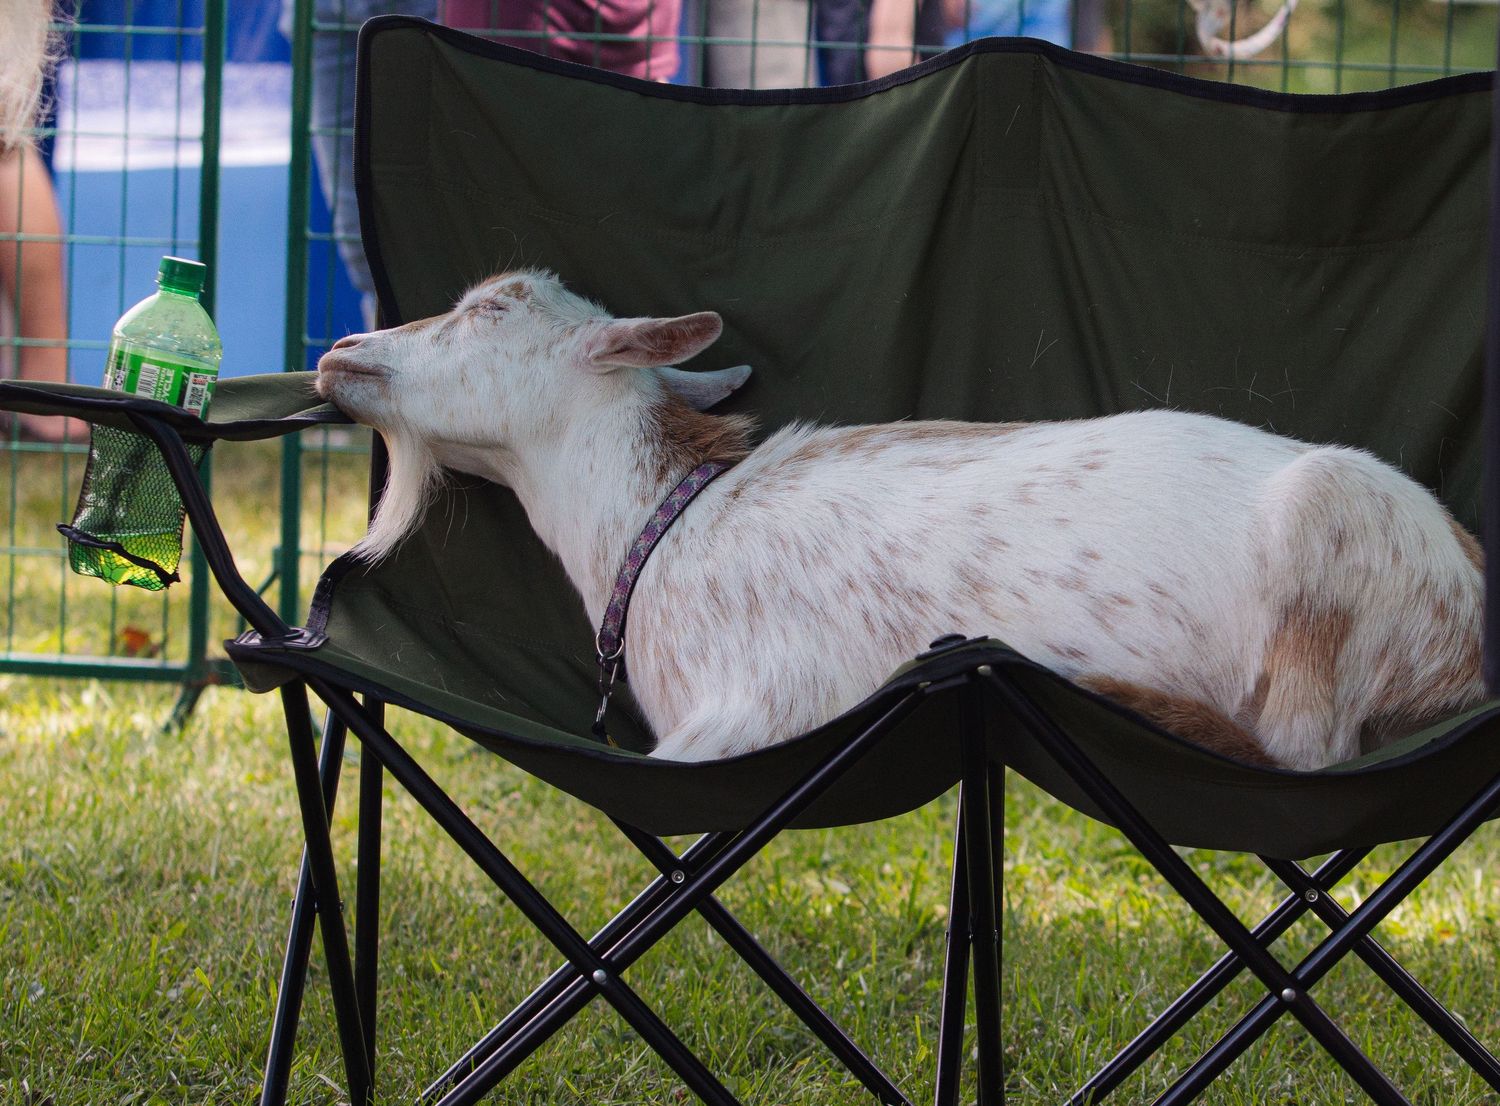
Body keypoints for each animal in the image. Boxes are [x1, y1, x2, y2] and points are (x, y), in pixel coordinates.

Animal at [314, 270, 1485, 768]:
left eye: (488, 309)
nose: (340, 349)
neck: (665, 525)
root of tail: (1472, 595)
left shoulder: (755, 710)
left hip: (1327, 531)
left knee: (1303, 749)